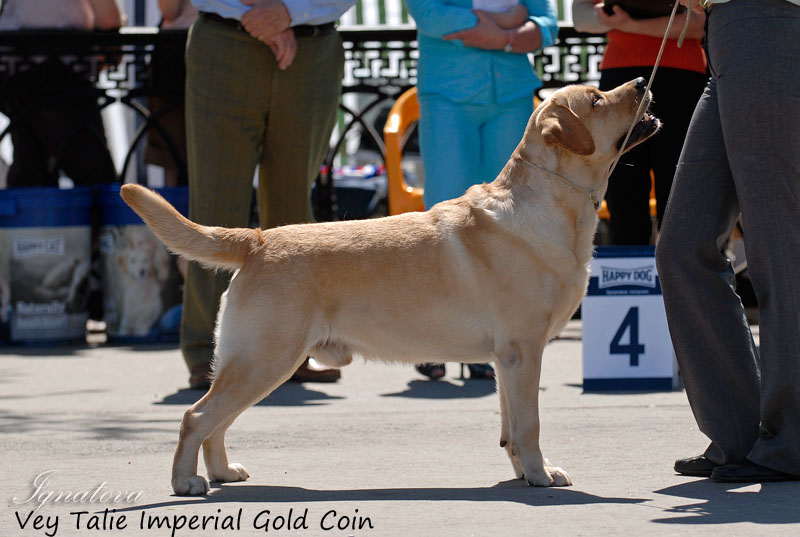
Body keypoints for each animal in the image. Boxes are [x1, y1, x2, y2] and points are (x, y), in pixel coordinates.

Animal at [120, 77, 656, 492]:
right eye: (597, 100)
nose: (641, 83)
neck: (551, 200)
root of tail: (257, 239)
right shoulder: (523, 351)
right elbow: (531, 425)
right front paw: (541, 475)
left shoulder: (505, 359)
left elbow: (509, 426)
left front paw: (523, 473)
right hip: (265, 359)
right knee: (196, 416)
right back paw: (186, 482)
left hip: (258, 363)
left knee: (216, 420)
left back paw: (223, 472)